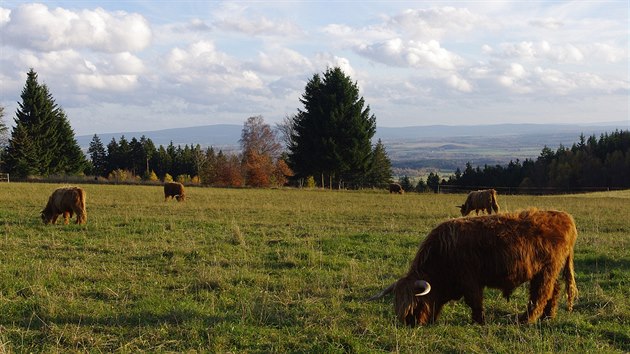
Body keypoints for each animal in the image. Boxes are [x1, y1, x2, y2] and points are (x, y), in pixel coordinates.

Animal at [370, 207, 584, 326]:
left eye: (415, 305)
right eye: (398, 307)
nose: (410, 324)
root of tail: (565, 217)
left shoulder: (470, 280)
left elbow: (475, 301)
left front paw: (478, 321)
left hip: (547, 270)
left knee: (540, 294)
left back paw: (526, 320)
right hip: (547, 271)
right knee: (553, 291)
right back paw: (548, 317)